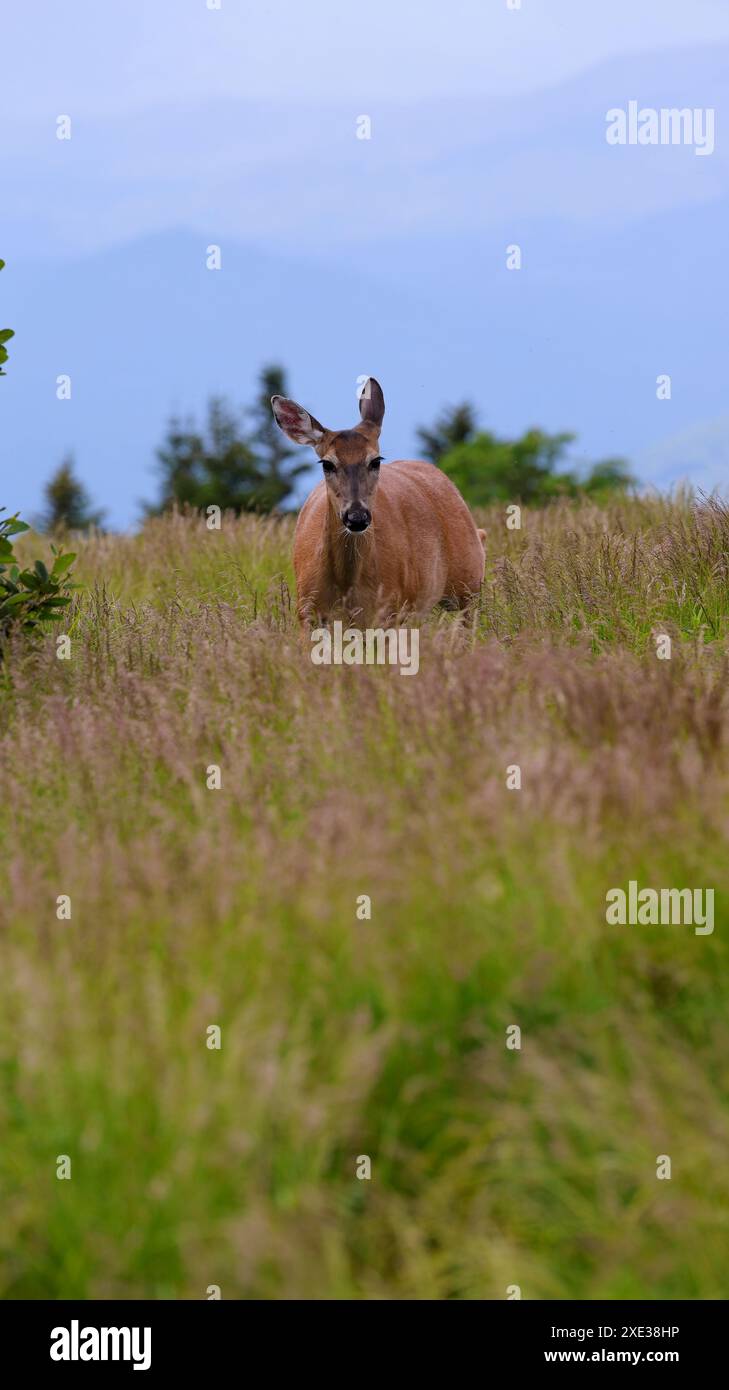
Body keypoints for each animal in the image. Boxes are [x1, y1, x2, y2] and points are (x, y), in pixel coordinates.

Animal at [271, 378, 486, 624]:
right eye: (327, 463)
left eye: (375, 461)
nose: (356, 517)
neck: (347, 586)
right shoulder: (306, 610)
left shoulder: (392, 609)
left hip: (468, 582)